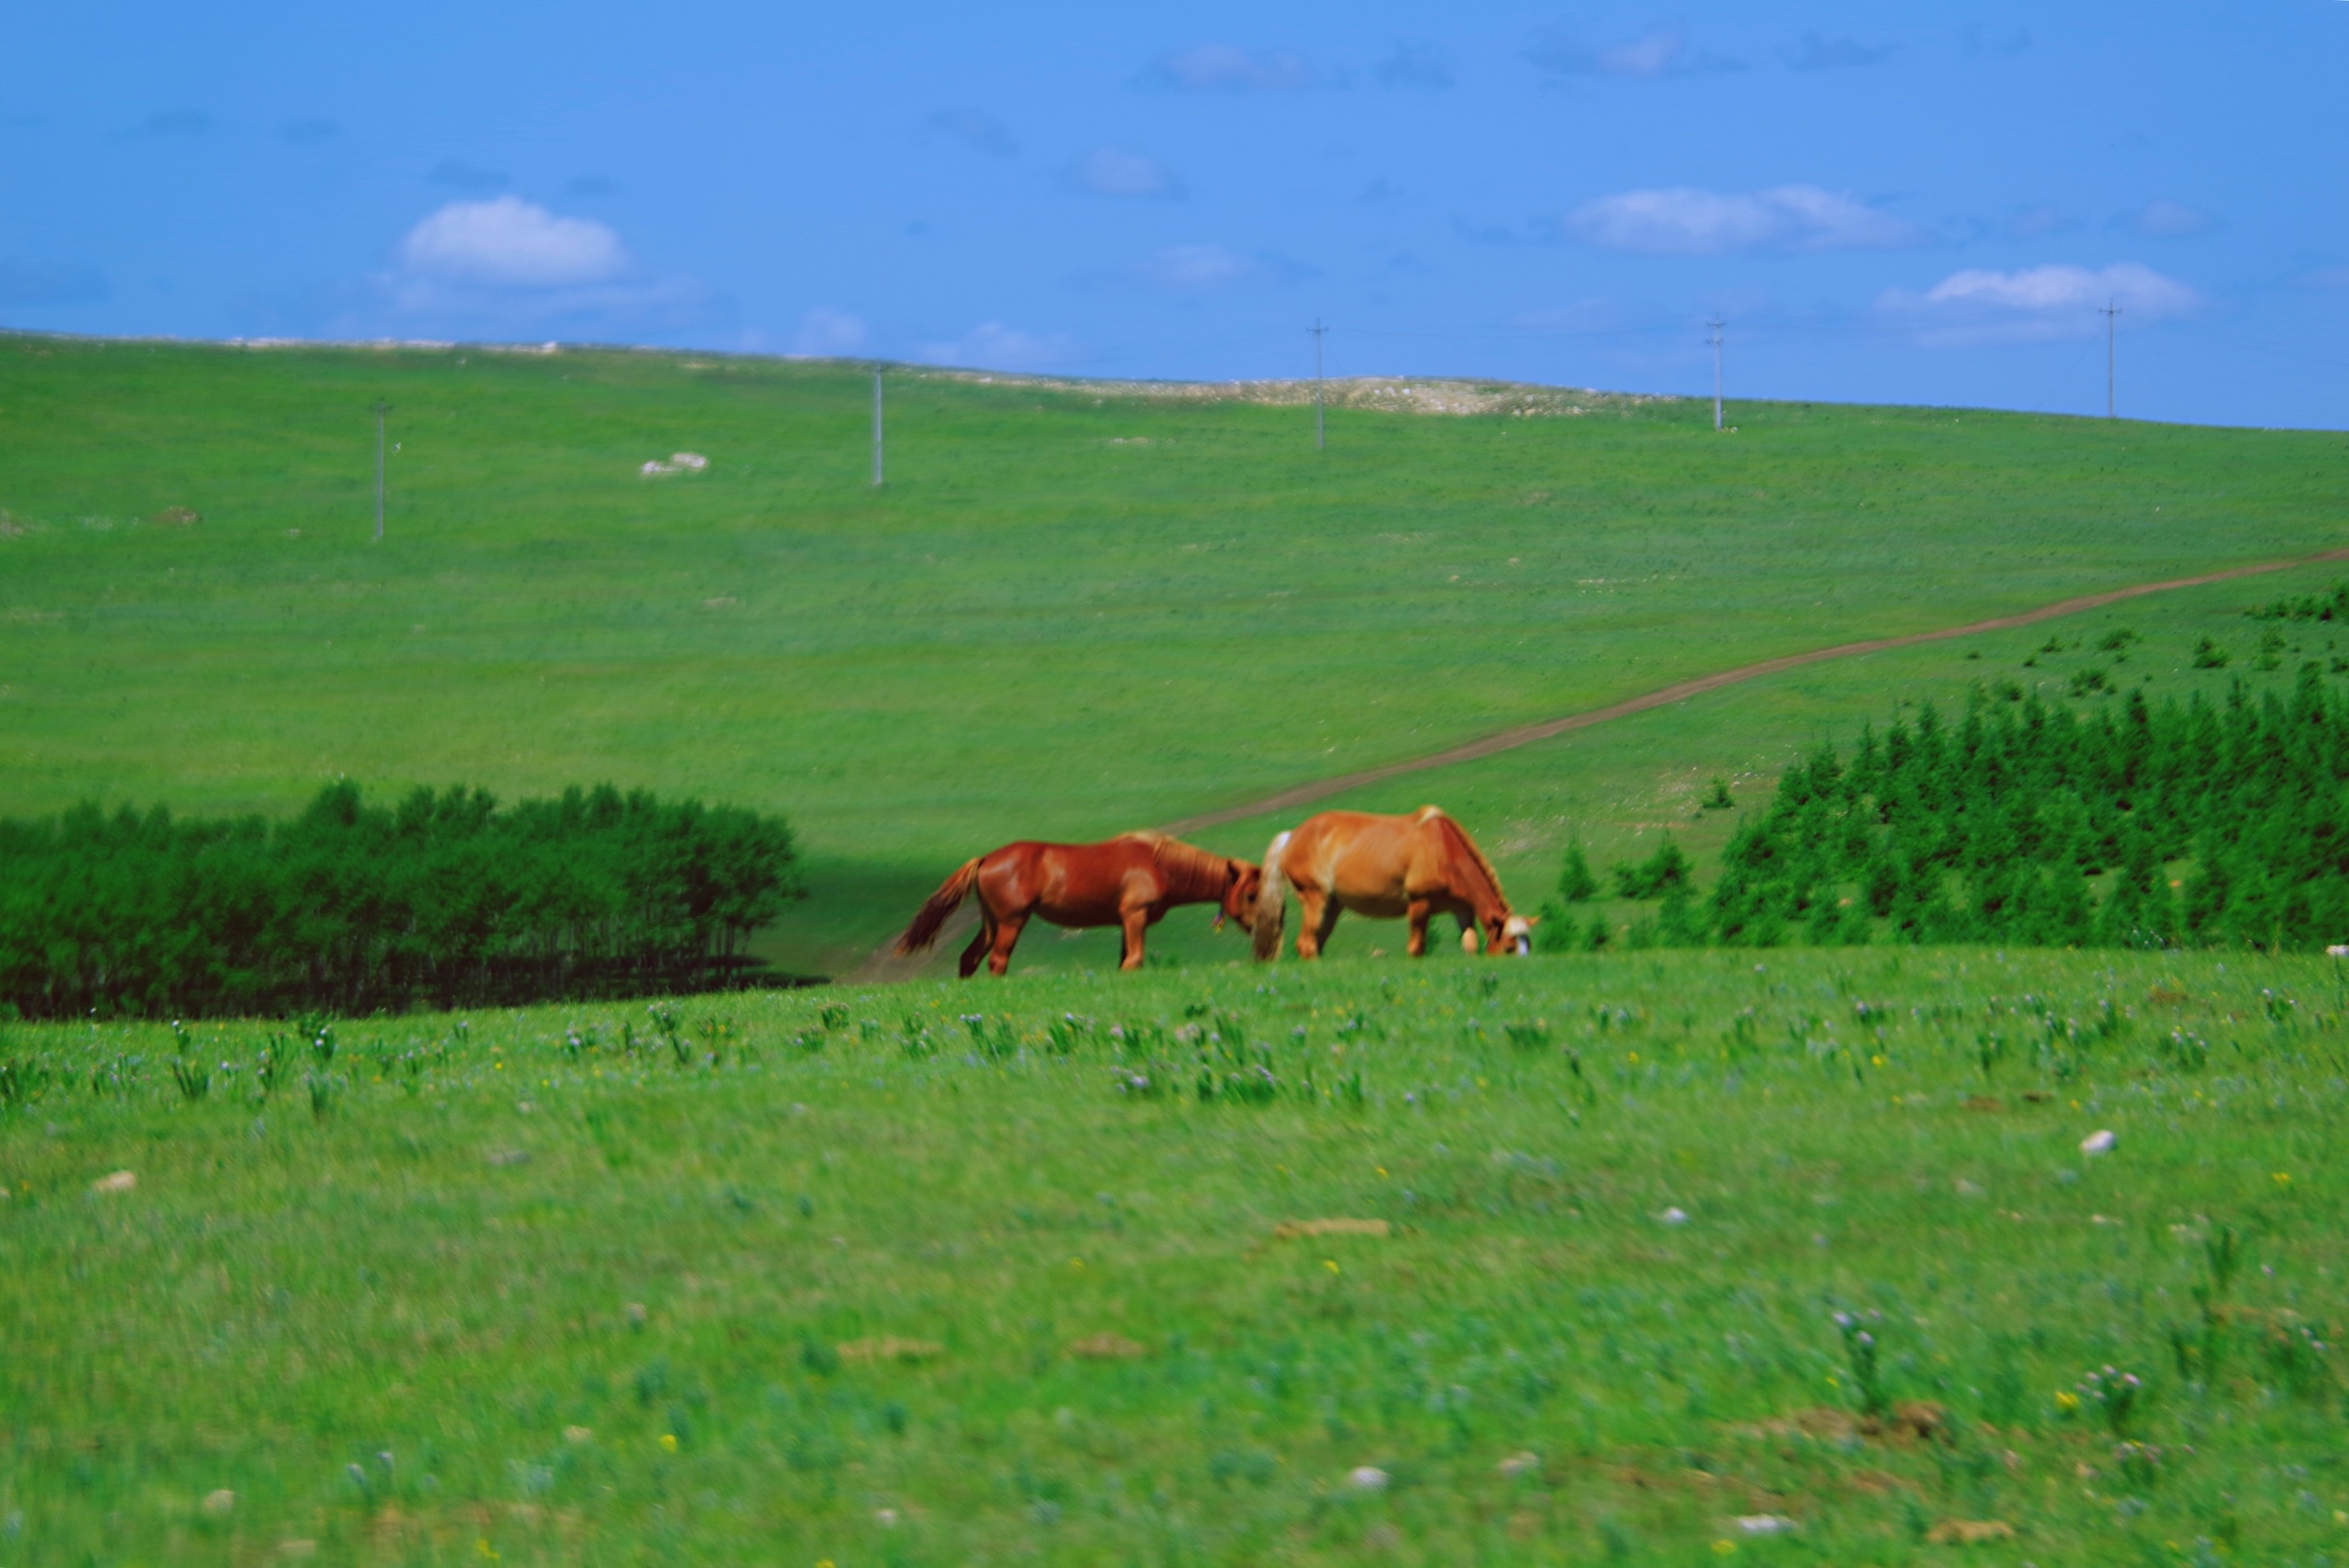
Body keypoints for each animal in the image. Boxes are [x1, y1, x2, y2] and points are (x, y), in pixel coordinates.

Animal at [897, 831, 1268, 982]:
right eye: (1251, 894)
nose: (1260, 928)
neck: (1158, 864)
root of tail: (986, 858)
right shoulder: (1135, 917)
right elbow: (1134, 960)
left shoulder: (1126, 923)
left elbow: (1125, 962)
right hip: (1012, 922)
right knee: (997, 962)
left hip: (991, 922)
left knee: (970, 959)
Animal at [1258, 808, 1531, 959]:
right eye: (1509, 947)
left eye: (1527, 945)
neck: (1442, 849)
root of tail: (1291, 835)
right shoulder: (1419, 905)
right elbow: (1416, 948)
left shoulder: (1462, 910)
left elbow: (1470, 945)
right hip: (1315, 899)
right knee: (1306, 944)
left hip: (1333, 906)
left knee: (1315, 944)